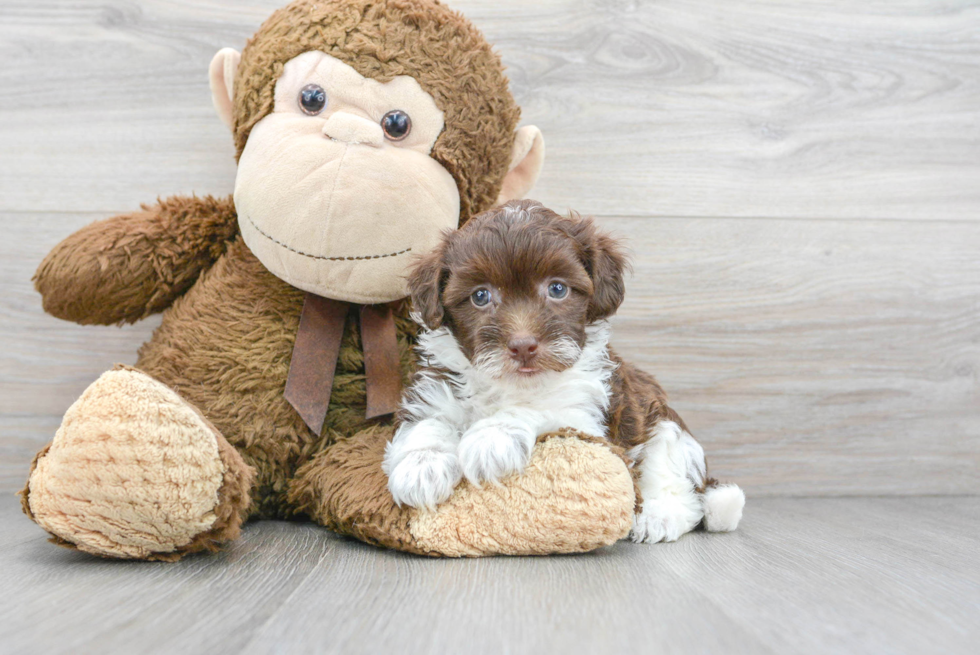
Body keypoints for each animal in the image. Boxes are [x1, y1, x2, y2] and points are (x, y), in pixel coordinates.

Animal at [382, 199, 744, 544]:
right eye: (480, 296)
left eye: (557, 289)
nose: (523, 346)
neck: (511, 384)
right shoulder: (434, 387)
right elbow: (428, 422)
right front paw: (421, 466)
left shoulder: (587, 415)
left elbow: (539, 408)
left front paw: (492, 436)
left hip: (664, 424)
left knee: (676, 483)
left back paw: (659, 517)